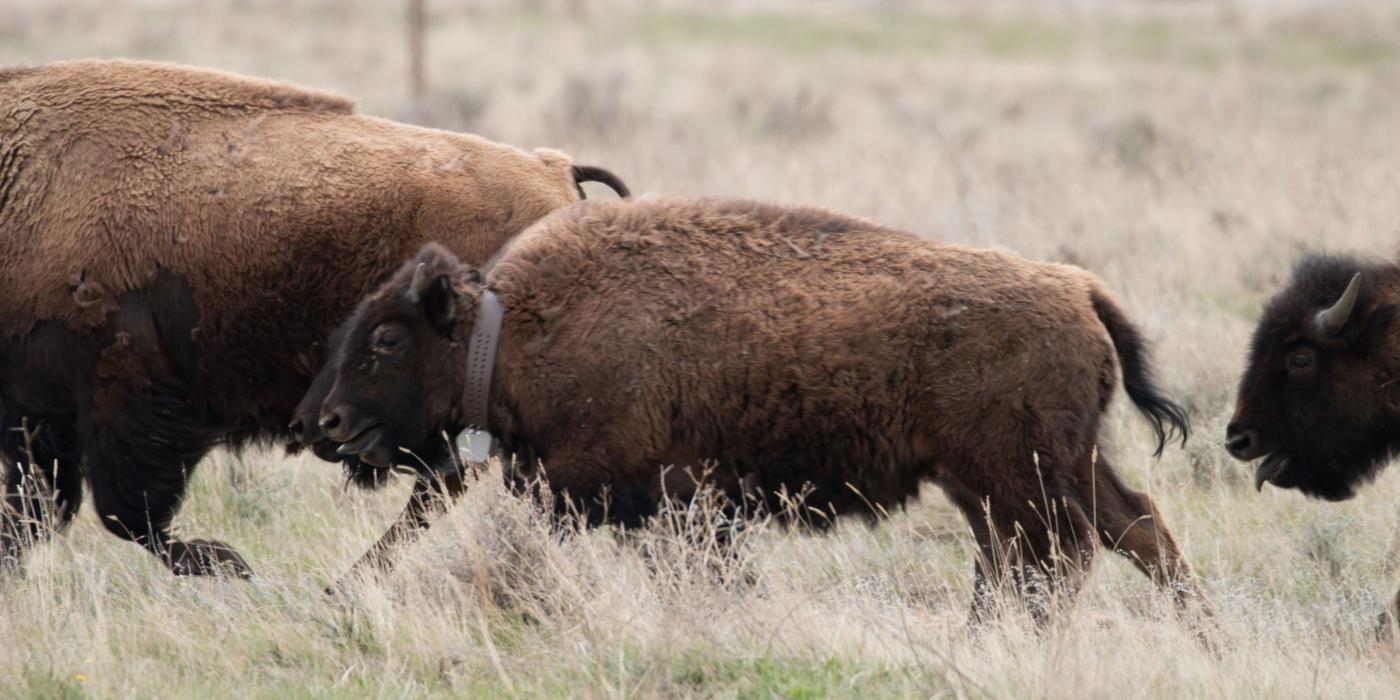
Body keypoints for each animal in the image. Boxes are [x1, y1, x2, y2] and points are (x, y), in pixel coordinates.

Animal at [0, 58, 630, 574]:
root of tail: (555, 172)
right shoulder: (38, 420)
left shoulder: (118, 395)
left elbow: (125, 515)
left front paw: (230, 566)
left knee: (453, 483)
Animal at [312, 198, 1209, 618]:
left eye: (387, 338)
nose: (326, 424)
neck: (511, 327)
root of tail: (1076, 289)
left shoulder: (664, 499)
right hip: (1015, 478)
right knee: (1108, 538)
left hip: (1023, 477)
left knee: (1074, 554)